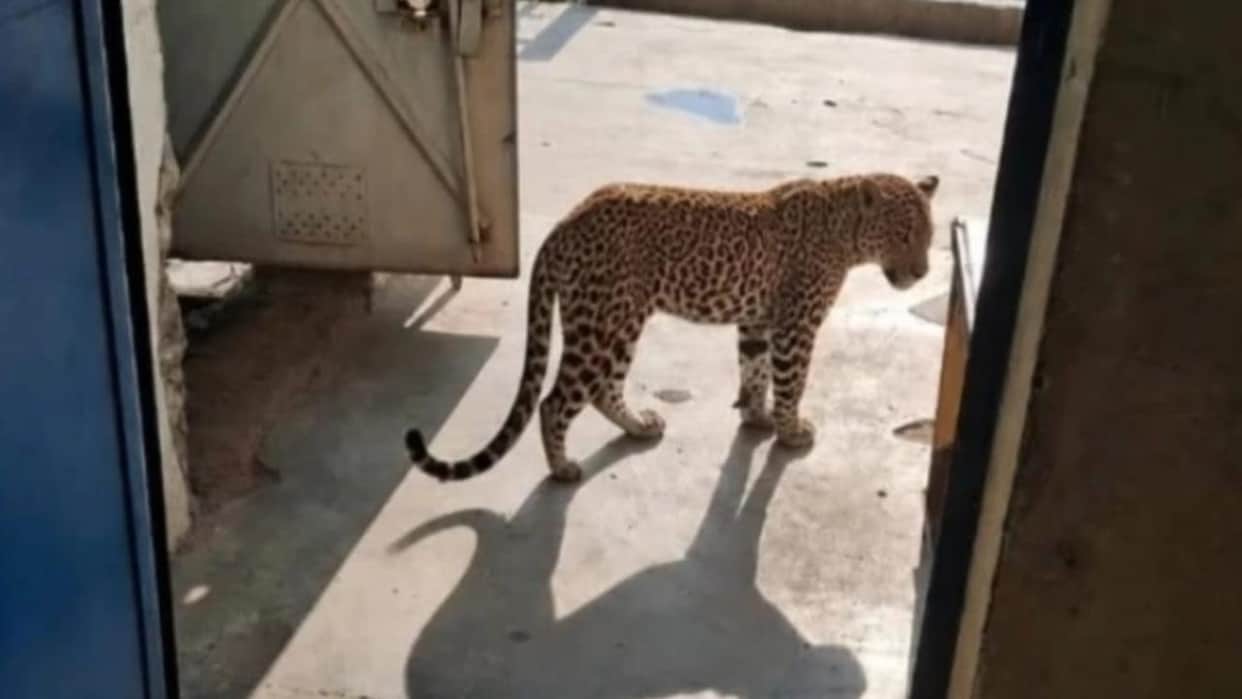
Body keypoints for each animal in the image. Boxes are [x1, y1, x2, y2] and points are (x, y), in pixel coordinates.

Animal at [405, 172, 939, 483]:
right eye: (903, 234)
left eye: (930, 235)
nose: (922, 272)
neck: (845, 230)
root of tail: (566, 221)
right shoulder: (796, 325)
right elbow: (792, 381)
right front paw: (790, 431)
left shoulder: (757, 321)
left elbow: (755, 372)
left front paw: (756, 417)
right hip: (603, 323)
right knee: (555, 401)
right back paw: (563, 468)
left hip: (620, 323)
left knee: (603, 389)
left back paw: (639, 426)